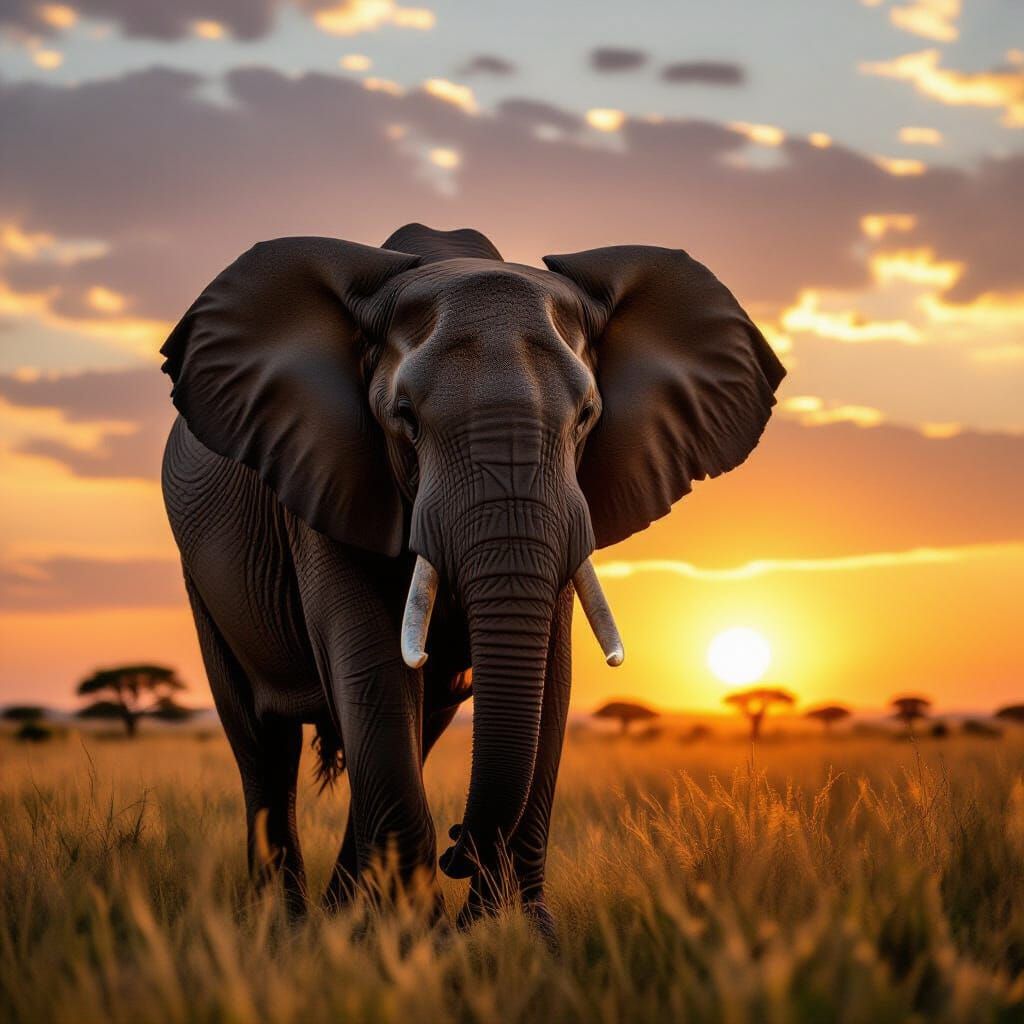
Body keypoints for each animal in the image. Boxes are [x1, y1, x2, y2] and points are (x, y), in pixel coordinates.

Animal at [160, 222, 785, 927]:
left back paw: (339, 915)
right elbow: (370, 663)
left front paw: (507, 937)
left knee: (418, 727)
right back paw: (288, 928)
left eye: (588, 416)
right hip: (200, 579)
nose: (458, 846)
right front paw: (411, 935)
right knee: (264, 746)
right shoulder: (321, 470)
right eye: (404, 417)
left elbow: (552, 678)